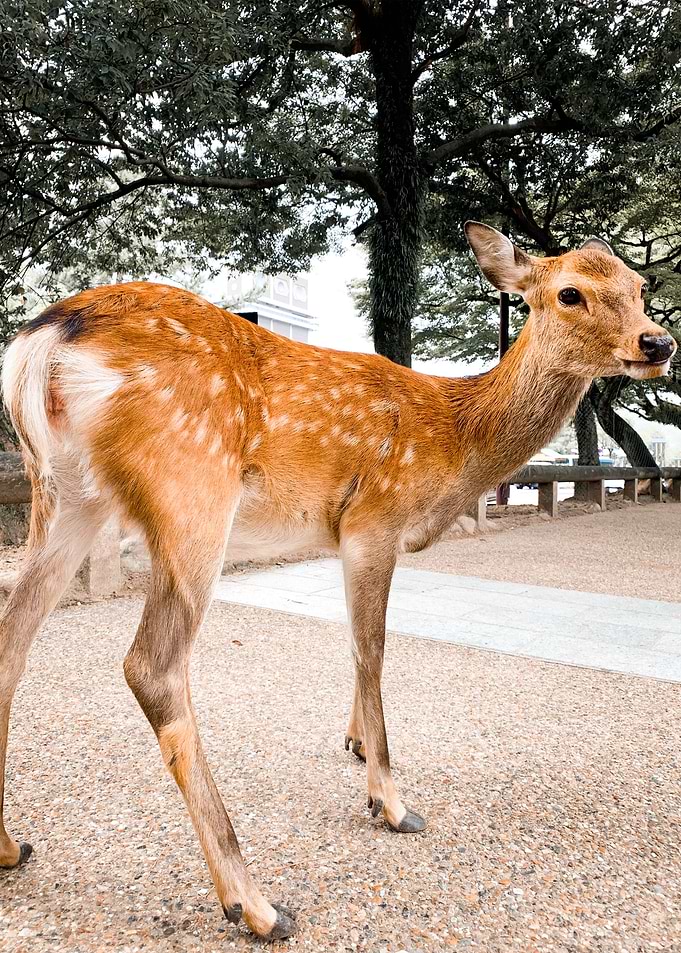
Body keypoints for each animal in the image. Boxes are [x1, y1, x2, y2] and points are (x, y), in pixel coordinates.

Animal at [0, 223, 675, 940]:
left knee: (12, 641)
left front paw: (354, 742)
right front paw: (390, 801)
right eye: (569, 292)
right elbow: (374, 648)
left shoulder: (338, 536)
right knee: (152, 665)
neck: (455, 439)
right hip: (189, 489)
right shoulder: (375, 517)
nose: (657, 342)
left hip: (66, 495)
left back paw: (12, 845)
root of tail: (44, 339)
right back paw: (256, 903)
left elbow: (351, 641)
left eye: (639, 285)